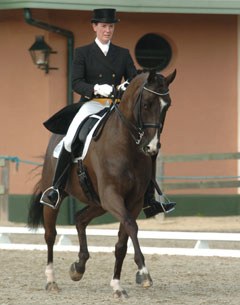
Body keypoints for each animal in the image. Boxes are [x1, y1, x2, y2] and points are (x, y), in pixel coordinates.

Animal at [27, 69, 176, 296]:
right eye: (146, 104)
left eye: (166, 105)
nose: (151, 147)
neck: (126, 145)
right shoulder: (112, 195)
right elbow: (131, 226)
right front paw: (143, 272)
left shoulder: (132, 202)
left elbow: (122, 242)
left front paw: (117, 285)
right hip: (57, 198)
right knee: (50, 234)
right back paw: (51, 280)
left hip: (98, 202)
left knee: (80, 219)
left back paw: (78, 267)